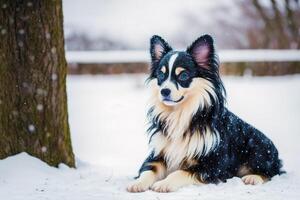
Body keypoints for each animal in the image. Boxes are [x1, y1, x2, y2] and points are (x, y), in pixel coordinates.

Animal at [126, 34, 284, 192]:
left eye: (183, 76)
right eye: (161, 75)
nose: (164, 91)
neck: (180, 112)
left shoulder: (212, 165)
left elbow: (181, 172)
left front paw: (164, 183)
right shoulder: (158, 154)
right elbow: (149, 170)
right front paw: (138, 183)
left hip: (257, 147)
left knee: (271, 171)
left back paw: (253, 177)